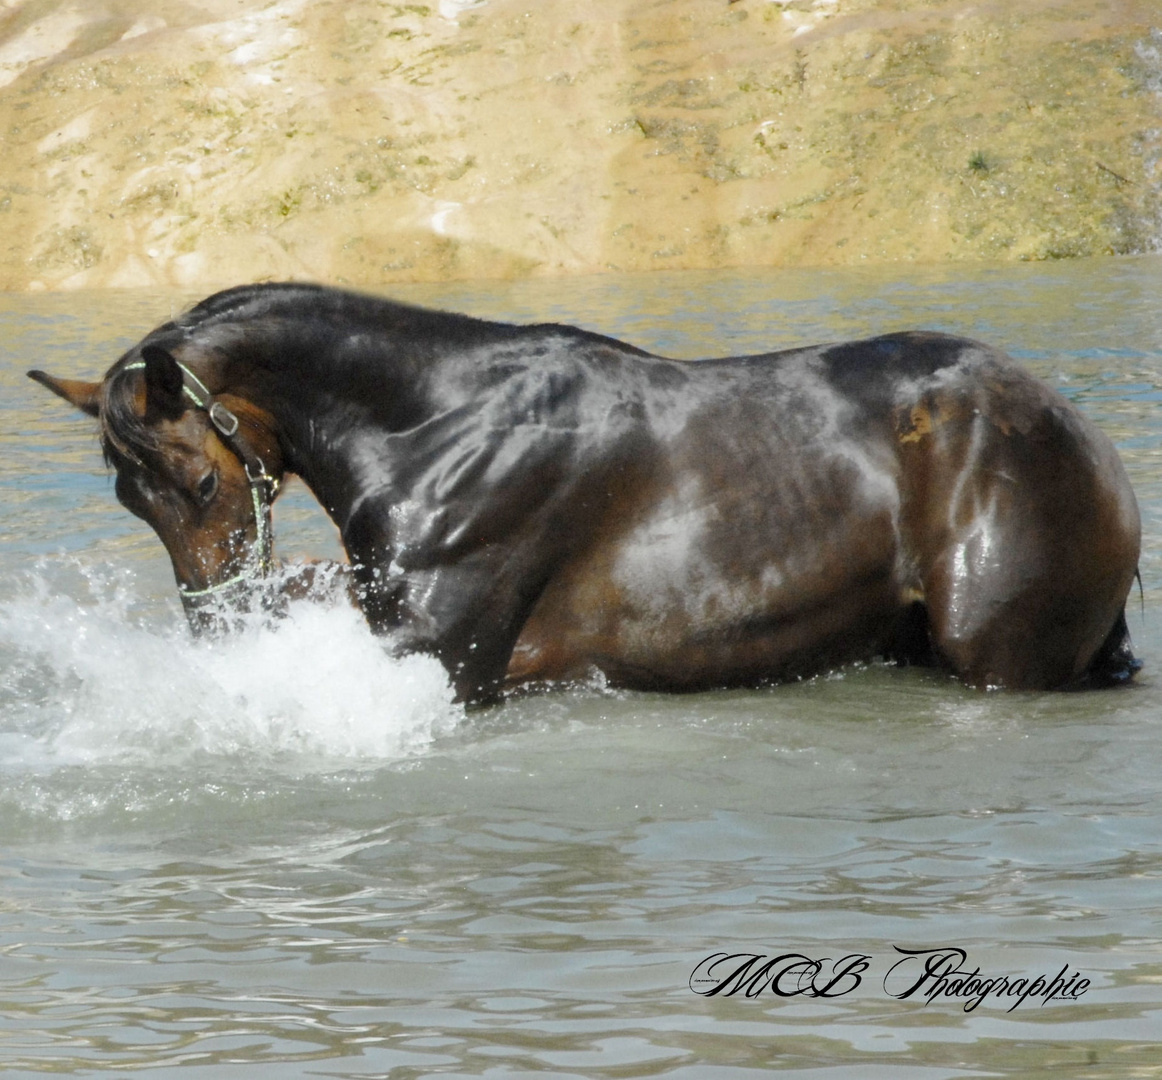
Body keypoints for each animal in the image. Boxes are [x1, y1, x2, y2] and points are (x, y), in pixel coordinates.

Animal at [29, 277, 1143, 702]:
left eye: (196, 480)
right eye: (130, 501)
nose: (214, 624)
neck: (435, 428)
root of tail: (1074, 429)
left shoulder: (434, 657)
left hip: (995, 654)